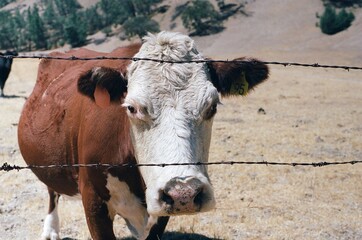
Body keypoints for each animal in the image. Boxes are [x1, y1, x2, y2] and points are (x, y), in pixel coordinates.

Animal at [17, 31, 268, 240]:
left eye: (212, 106)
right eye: (132, 107)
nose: (184, 193)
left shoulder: (159, 210)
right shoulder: (93, 201)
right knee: (52, 192)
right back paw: (50, 230)